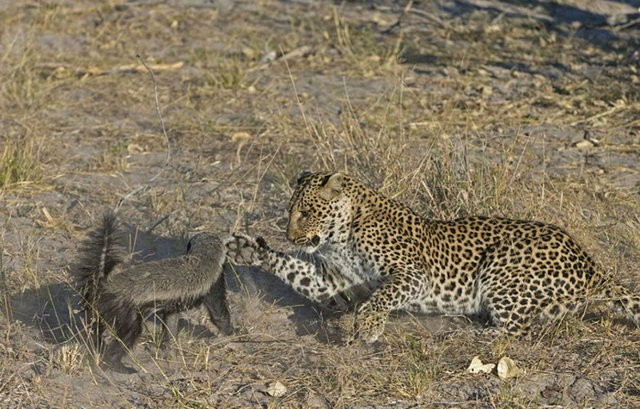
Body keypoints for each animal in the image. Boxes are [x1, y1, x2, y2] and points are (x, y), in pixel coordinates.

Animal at [222, 171, 636, 342]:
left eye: (306, 213)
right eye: (289, 212)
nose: (290, 235)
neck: (340, 234)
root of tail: (592, 265)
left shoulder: (412, 274)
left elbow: (382, 296)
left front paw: (369, 326)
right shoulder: (334, 286)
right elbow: (293, 268)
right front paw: (249, 250)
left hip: (502, 270)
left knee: (518, 330)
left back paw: (467, 332)